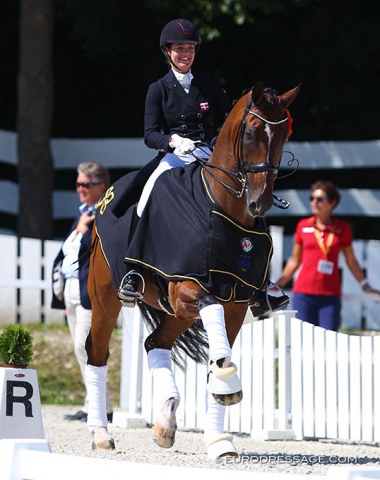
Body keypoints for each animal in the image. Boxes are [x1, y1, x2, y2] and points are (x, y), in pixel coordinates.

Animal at [85, 81, 300, 458]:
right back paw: (100, 434)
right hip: (106, 298)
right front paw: (229, 385)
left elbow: (219, 356)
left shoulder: (237, 304)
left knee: (155, 343)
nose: (258, 203)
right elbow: (213, 324)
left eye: (284, 135)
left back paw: (166, 421)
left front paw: (219, 439)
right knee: (97, 353)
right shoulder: (186, 287)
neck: (220, 207)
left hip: (176, 313)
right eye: (251, 133)